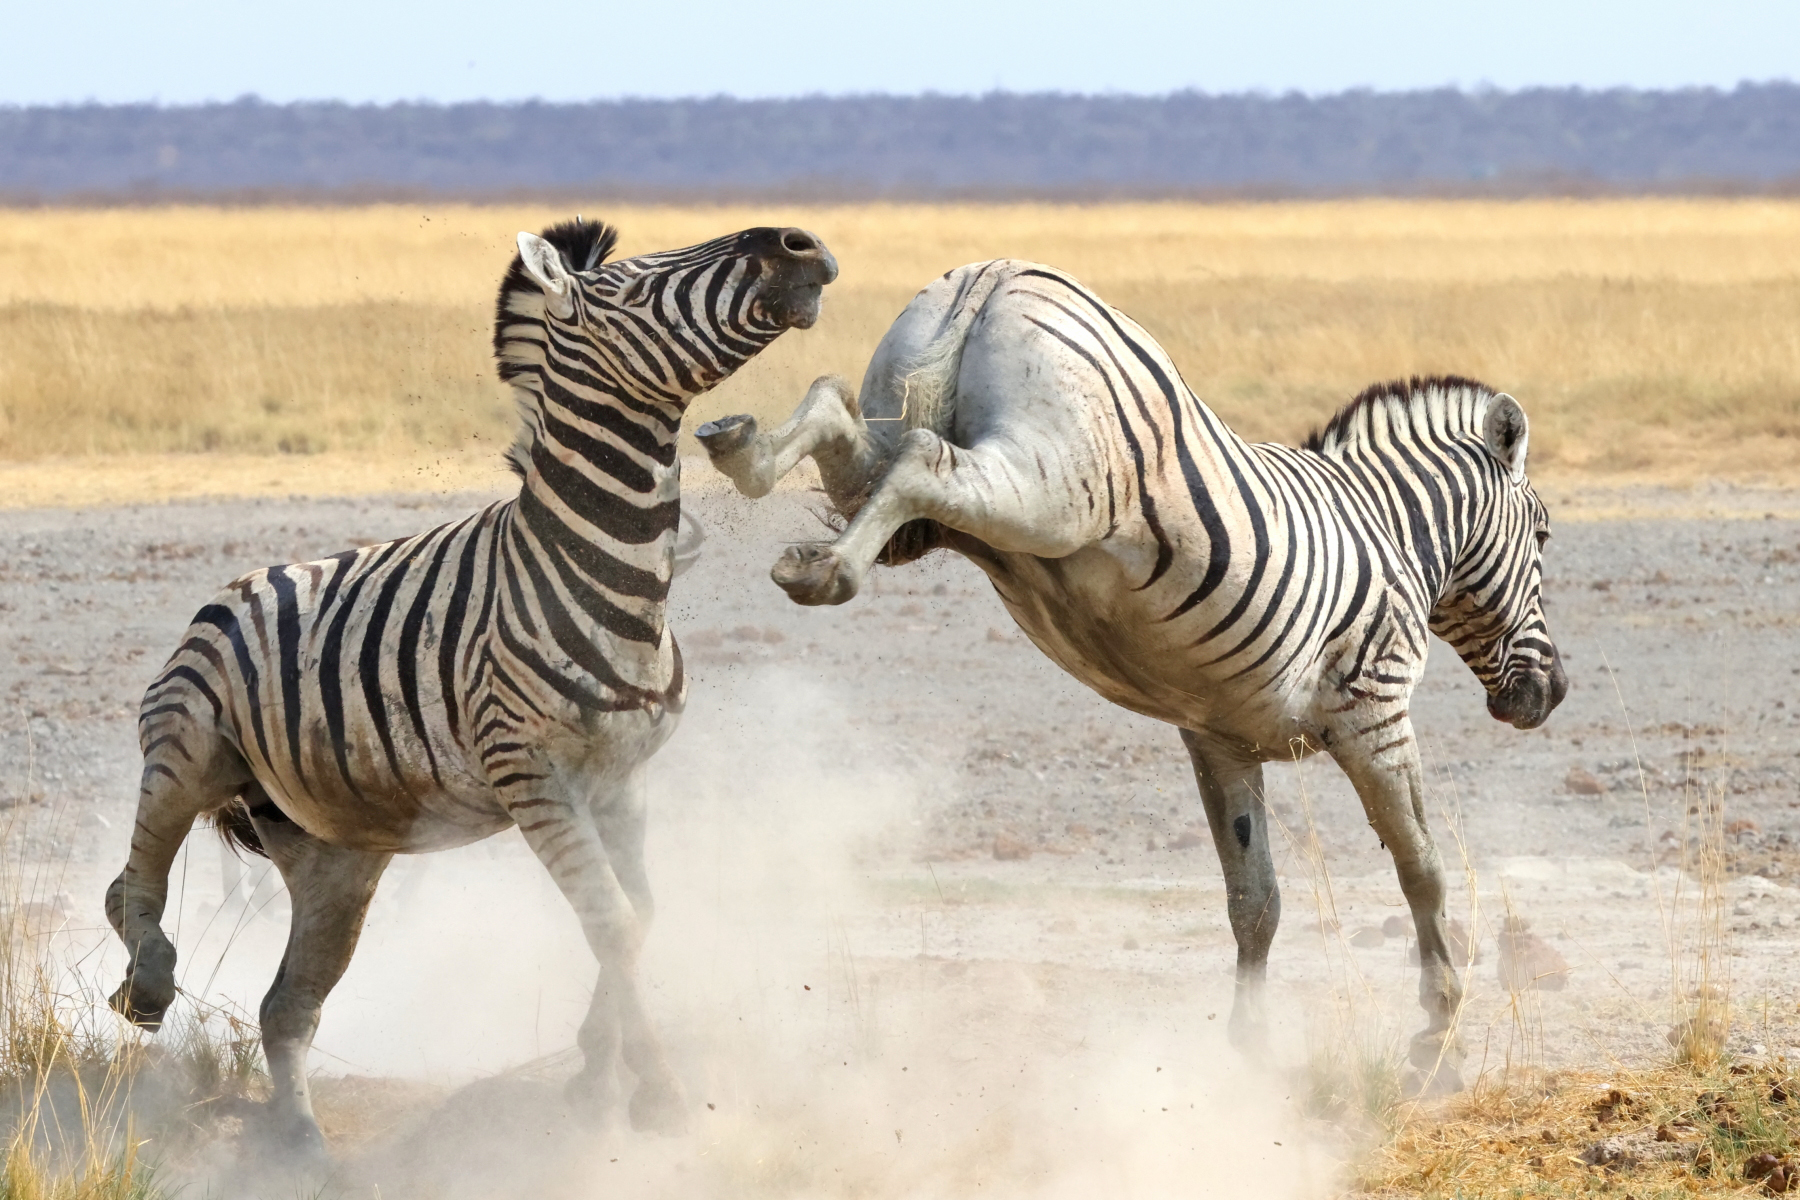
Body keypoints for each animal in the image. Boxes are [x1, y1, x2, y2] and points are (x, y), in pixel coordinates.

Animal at [105, 218, 837, 1154]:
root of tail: (242, 583)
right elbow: (613, 922)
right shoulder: (533, 777)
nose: (801, 242)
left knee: (287, 1005)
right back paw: (148, 986)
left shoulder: (621, 776)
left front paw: (596, 1071)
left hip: (336, 853)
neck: (600, 570)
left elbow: (638, 917)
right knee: (137, 878)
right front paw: (657, 1094)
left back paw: (302, 1146)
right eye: (637, 284)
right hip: (188, 750)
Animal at [696, 258, 1566, 1091]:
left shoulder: (1221, 738)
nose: (1550, 695)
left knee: (843, 414)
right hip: (1048, 487)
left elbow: (1255, 898)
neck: (1390, 529)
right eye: (1546, 535)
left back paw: (744, 452)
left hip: (924, 492)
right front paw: (1438, 1042)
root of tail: (993, 274)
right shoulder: (1375, 711)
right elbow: (1424, 870)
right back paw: (830, 567)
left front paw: (1252, 1050)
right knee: (923, 458)